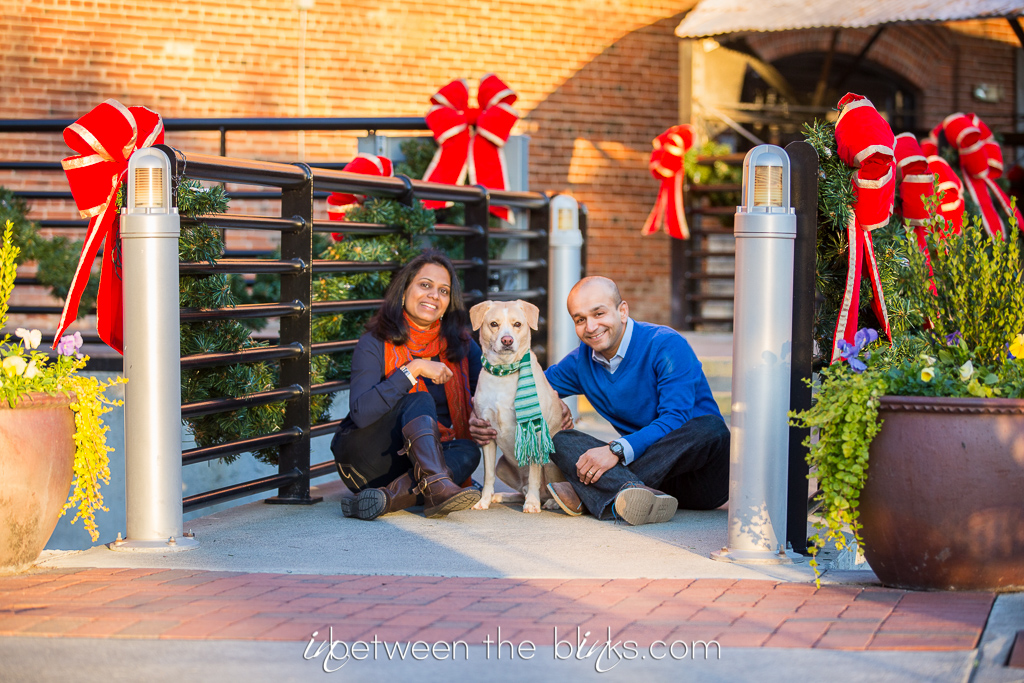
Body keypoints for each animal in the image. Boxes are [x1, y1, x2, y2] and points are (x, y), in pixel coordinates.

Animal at [470, 299, 566, 513]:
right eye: (494, 324)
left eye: (517, 324)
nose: (507, 340)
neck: (503, 372)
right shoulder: (487, 432)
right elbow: (488, 475)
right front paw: (484, 500)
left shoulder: (536, 432)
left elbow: (535, 474)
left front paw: (532, 504)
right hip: (502, 465)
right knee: (521, 489)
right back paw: (502, 496)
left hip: (552, 458)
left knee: (553, 485)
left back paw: (551, 501)